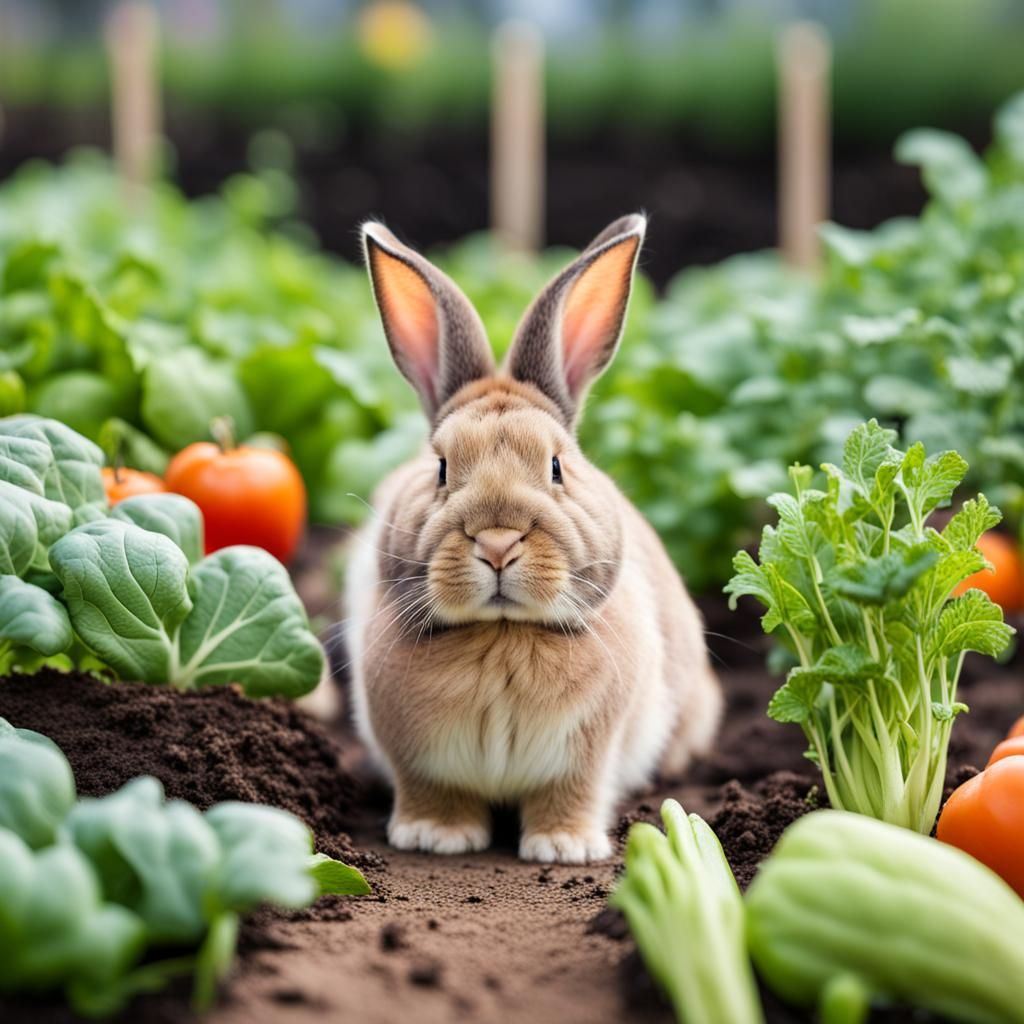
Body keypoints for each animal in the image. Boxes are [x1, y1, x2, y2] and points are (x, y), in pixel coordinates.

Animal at [345, 214, 722, 864]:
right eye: (440, 468)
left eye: (557, 467)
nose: (497, 543)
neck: (501, 636)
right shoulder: (417, 758)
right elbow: (432, 791)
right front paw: (436, 837)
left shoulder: (586, 754)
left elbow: (570, 793)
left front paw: (563, 848)